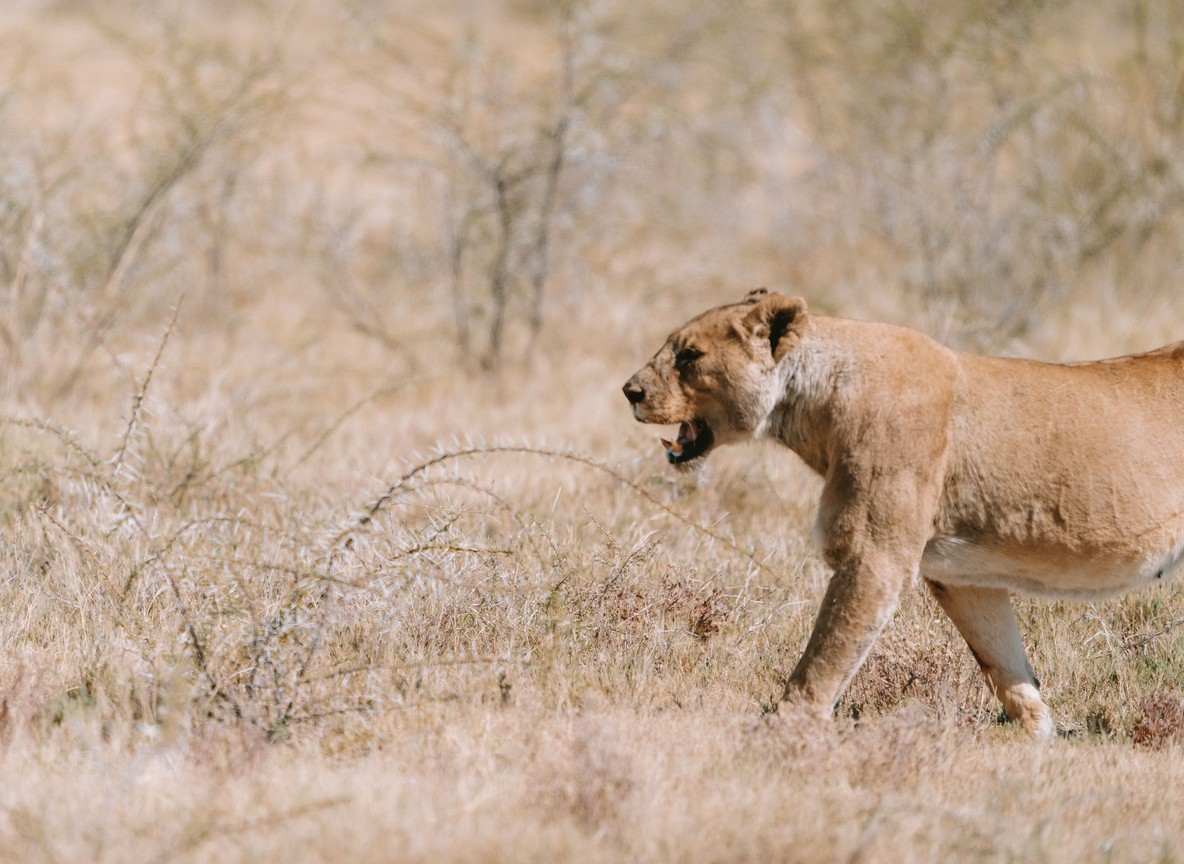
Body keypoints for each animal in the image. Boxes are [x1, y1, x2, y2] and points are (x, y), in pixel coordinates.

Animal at [623, 288, 1184, 738]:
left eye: (689, 355)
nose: (630, 391)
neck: (816, 404)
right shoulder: (963, 575)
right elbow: (1004, 663)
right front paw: (1040, 738)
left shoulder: (875, 554)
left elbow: (824, 658)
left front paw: (781, 734)